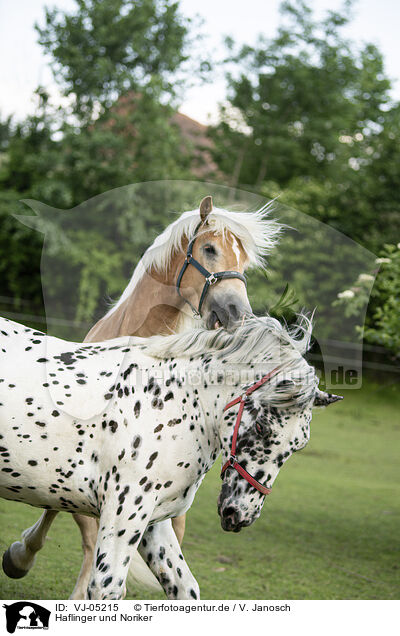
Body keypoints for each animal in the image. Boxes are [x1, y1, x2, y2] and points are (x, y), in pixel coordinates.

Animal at [0, 316, 344, 600]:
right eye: (261, 427)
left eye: (298, 446)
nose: (240, 515)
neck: (170, 404)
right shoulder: (123, 516)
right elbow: (106, 587)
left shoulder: (152, 522)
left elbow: (184, 588)